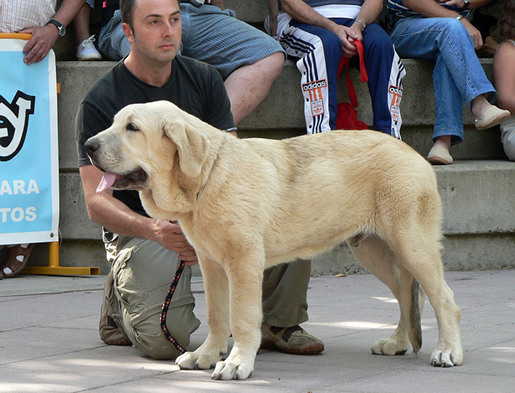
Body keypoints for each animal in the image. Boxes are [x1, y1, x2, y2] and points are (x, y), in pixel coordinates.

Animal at [84, 100, 464, 380]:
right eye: (114, 123)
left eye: (132, 128)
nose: (88, 145)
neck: (207, 176)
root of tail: (412, 152)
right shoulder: (211, 264)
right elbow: (217, 314)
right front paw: (207, 355)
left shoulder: (243, 262)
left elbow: (241, 316)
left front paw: (237, 363)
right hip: (375, 250)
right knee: (408, 293)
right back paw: (398, 342)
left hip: (411, 243)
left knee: (444, 298)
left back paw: (448, 351)